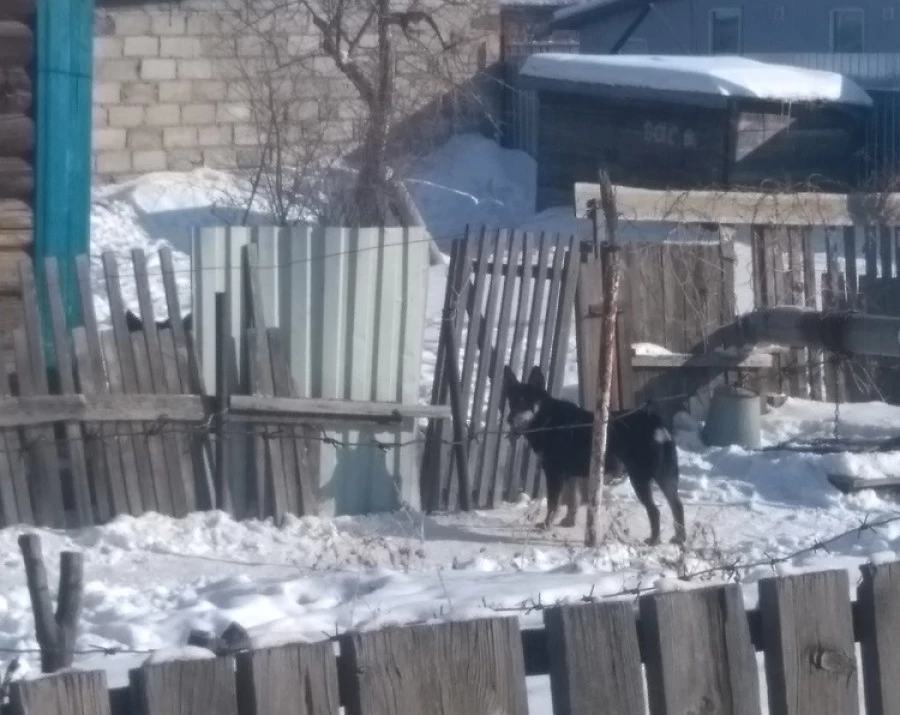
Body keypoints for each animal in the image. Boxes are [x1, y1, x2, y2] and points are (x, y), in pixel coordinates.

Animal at [502, 366, 684, 544]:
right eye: (512, 401)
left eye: (525, 401)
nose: (509, 419)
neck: (548, 419)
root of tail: (657, 426)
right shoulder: (571, 475)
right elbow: (573, 501)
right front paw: (569, 521)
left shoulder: (554, 473)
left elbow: (553, 504)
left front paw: (547, 524)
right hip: (666, 477)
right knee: (677, 505)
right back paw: (679, 538)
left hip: (639, 478)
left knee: (654, 510)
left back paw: (654, 540)